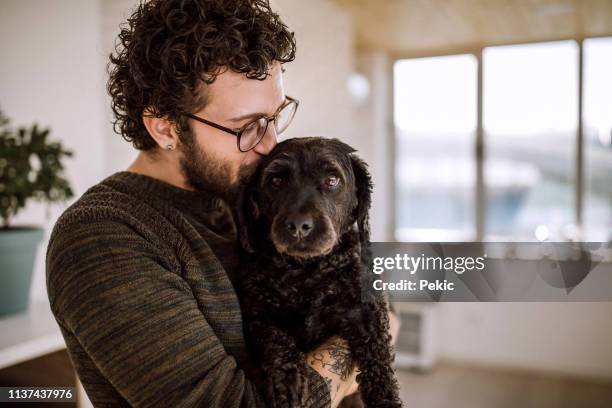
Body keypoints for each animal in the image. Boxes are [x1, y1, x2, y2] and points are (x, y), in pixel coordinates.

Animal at [237, 138, 404, 408]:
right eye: (276, 181)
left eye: (332, 179)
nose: (298, 225)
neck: (308, 272)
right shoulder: (257, 314)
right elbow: (277, 341)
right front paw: (288, 379)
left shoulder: (368, 311)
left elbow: (379, 362)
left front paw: (386, 399)